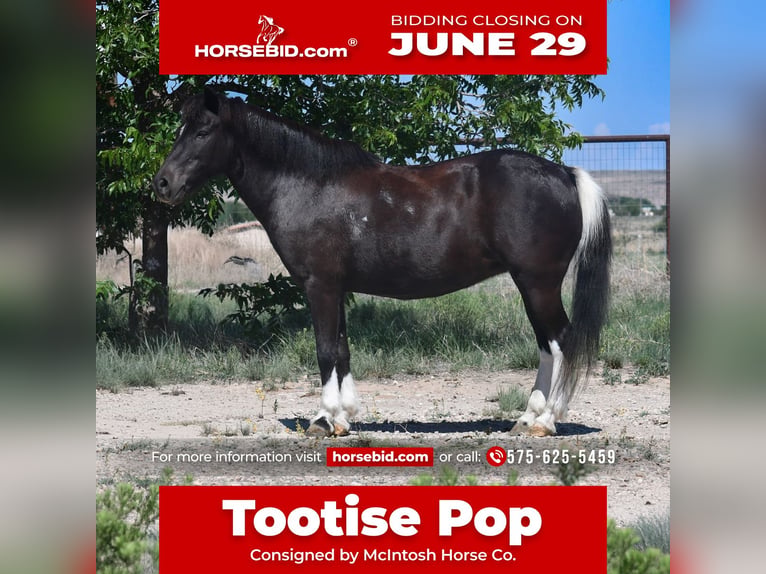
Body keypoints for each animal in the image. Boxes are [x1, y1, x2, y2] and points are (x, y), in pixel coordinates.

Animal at [154, 88, 612, 438]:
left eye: (203, 131)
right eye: (180, 130)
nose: (162, 184)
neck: (309, 186)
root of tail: (565, 174)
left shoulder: (320, 285)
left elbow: (325, 349)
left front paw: (324, 420)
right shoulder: (336, 287)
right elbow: (341, 348)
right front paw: (344, 416)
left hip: (538, 283)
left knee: (561, 341)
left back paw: (546, 421)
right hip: (530, 284)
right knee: (547, 345)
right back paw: (527, 418)